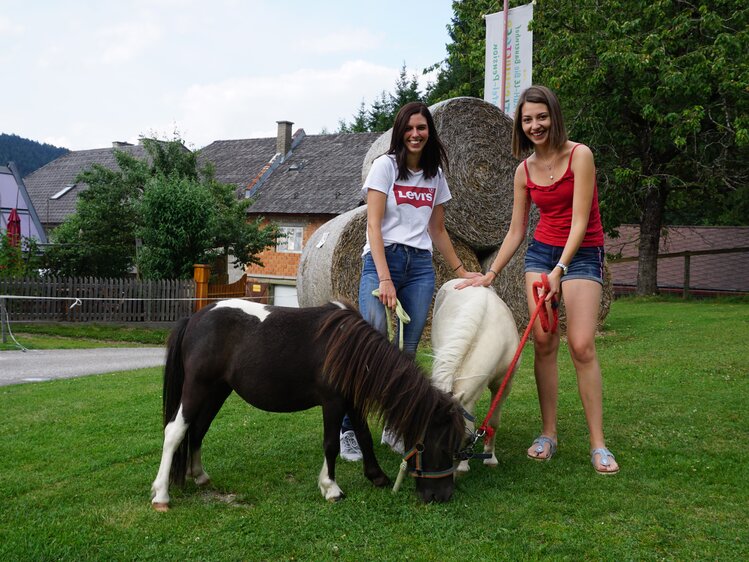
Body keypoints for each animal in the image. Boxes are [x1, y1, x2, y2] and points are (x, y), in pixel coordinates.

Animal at [150, 298, 468, 508]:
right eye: (442, 447)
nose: (442, 496)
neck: (349, 349)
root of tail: (194, 319)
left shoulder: (352, 402)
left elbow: (364, 437)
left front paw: (376, 476)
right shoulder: (333, 403)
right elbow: (331, 444)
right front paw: (331, 488)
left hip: (217, 391)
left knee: (197, 430)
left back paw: (199, 476)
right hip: (196, 388)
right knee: (175, 432)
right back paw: (161, 495)